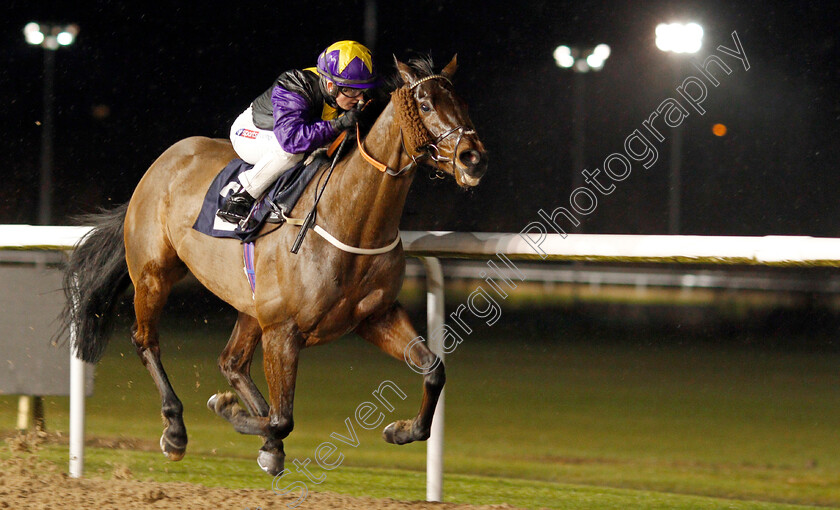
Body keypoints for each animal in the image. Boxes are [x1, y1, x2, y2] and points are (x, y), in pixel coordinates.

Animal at [60, 55, 486, 474]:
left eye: (463, 102)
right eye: (426, 105)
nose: (473, 158)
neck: (349, 220)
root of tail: (161, 163)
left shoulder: (375, 316)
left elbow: (433, 369)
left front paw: (401, 430)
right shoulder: (283, 330)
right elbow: (283, 418)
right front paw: (229, 411)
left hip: (251, 304)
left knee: (232, 362)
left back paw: (265, 442)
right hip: (154, 274)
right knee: (146, 340)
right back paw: (176, 429)